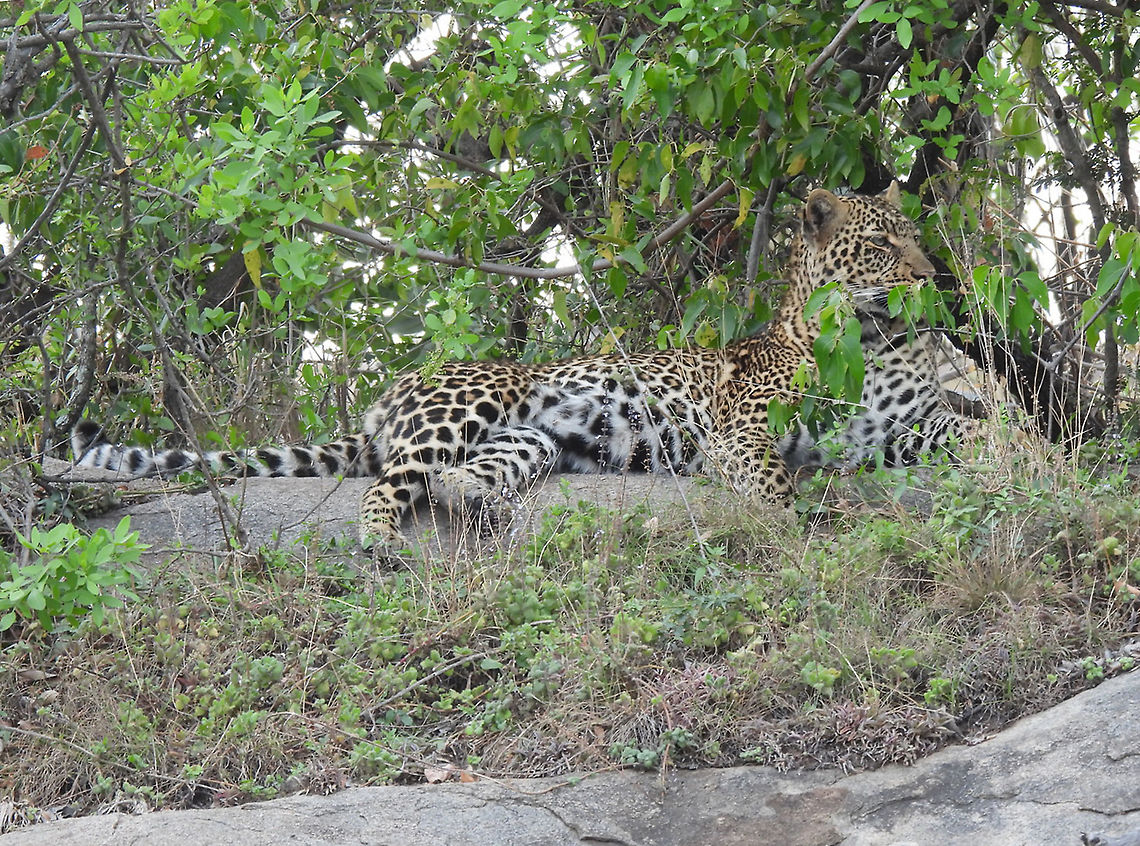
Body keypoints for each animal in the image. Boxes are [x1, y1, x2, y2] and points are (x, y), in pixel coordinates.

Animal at [72, 184, 953, 545]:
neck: (863, 338)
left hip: (533, 441)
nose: (931, 277)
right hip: (475, 400)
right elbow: (772, 480)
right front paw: (803, 520)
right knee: (391, 484)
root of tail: (389, 396)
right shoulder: (744, 431)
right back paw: (379, 542)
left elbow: (959, 436)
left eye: (914, 238)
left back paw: (487, 510)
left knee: (455, 480)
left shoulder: (889, 431)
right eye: (882, 244)